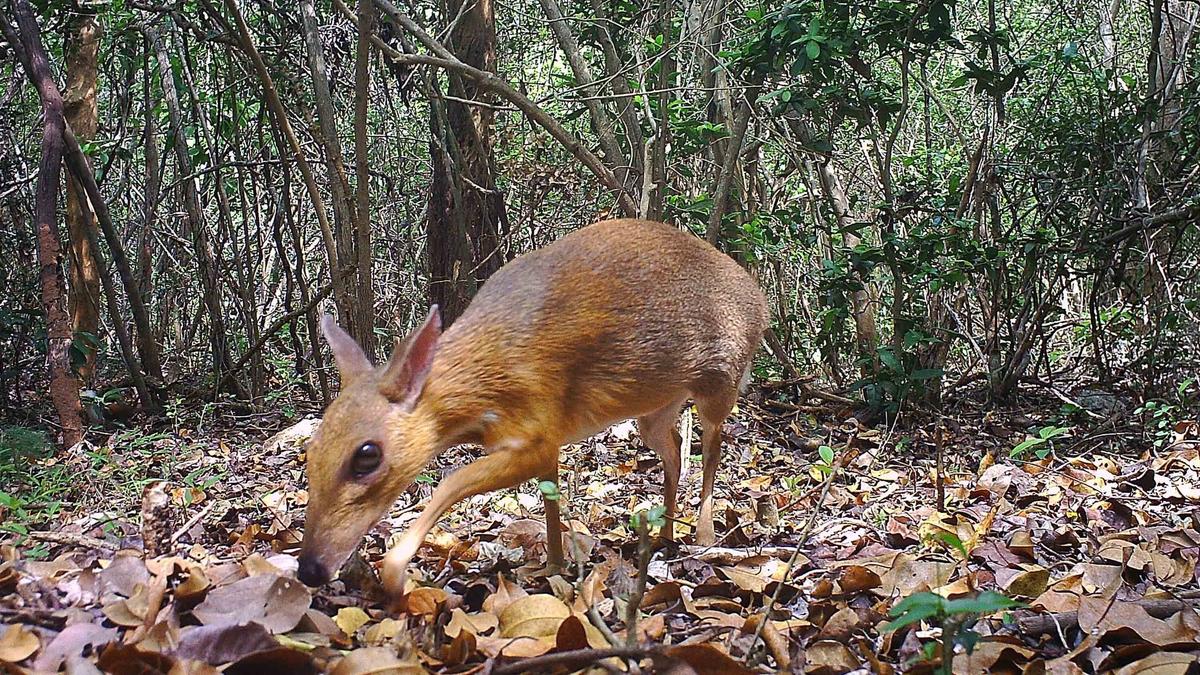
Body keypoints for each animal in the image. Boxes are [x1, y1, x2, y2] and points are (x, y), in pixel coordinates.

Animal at [296, 219, 769, 599]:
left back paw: (704, 535)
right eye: (311, 451)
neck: (487, 377)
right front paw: (555, 565)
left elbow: (451, 482)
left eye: (366, 456)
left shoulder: (538, 427)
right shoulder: (547, 438)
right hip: (655, 407)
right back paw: (665, 534)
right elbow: (549, 497)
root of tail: (761, 299)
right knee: (672, 449)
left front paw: (395, 574)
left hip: (721, 380)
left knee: (712, 449)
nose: (309, 569)